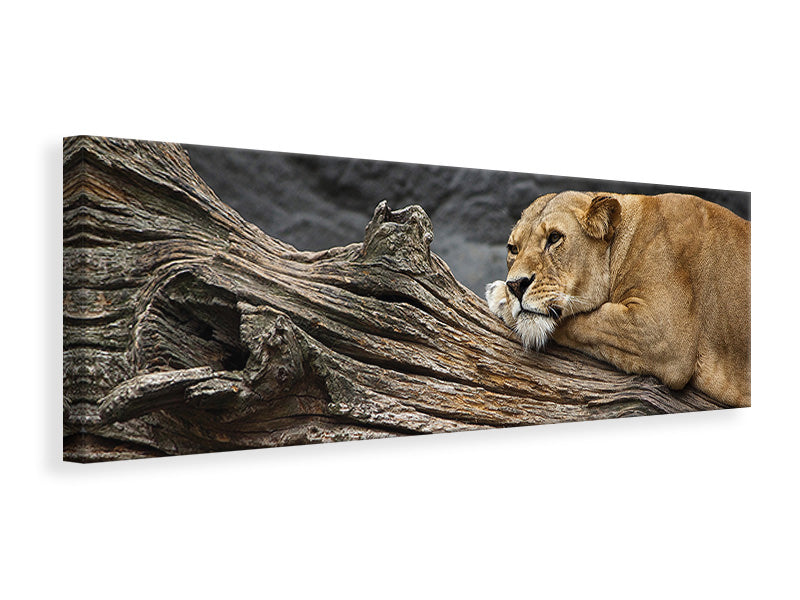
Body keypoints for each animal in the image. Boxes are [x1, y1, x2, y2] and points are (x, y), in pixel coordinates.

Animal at [485, 191, 750, 407]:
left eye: (554, 238)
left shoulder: (663, 332)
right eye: (513, 249)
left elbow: (585, 321)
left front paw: (500, 298)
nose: (515, 286)